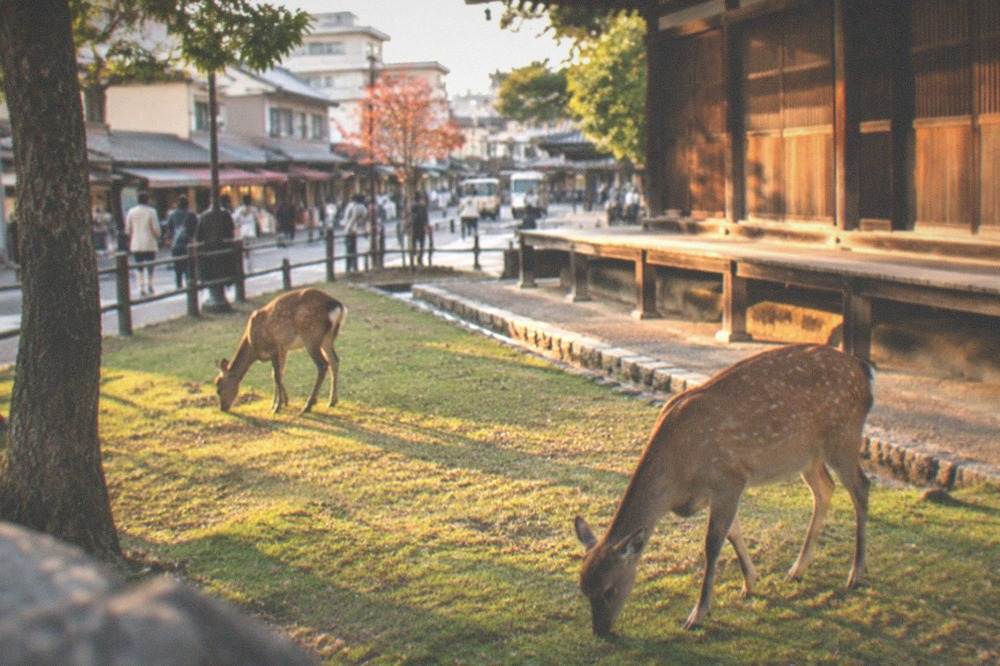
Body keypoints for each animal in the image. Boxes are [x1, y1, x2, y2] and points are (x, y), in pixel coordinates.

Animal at [214, 288, 346, 415]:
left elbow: (276, 375)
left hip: (311, 336)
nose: (222, 408)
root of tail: (337, 306)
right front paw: (279, 403)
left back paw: (308, 406)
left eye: (219, 388)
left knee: (323, 365)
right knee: (334, 361)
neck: (253, 347)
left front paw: (277, 407)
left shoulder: (273, 348)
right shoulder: (283, 349)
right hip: (327, 338)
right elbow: (278, 374)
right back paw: (332, 401)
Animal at [574, 344, 874, 637]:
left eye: (609, 590)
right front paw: (751, 582)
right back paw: (797, 569)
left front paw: (697, 615)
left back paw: (855, 574)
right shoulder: (712, 493)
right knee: (825, 488)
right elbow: (733, 533)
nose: (601, 631)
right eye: (584, 589)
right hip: (807, 456)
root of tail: (863, 371)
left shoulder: (729, 480)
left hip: (843, 438)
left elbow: (713, 544)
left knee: (861, 487)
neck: (678, 480)